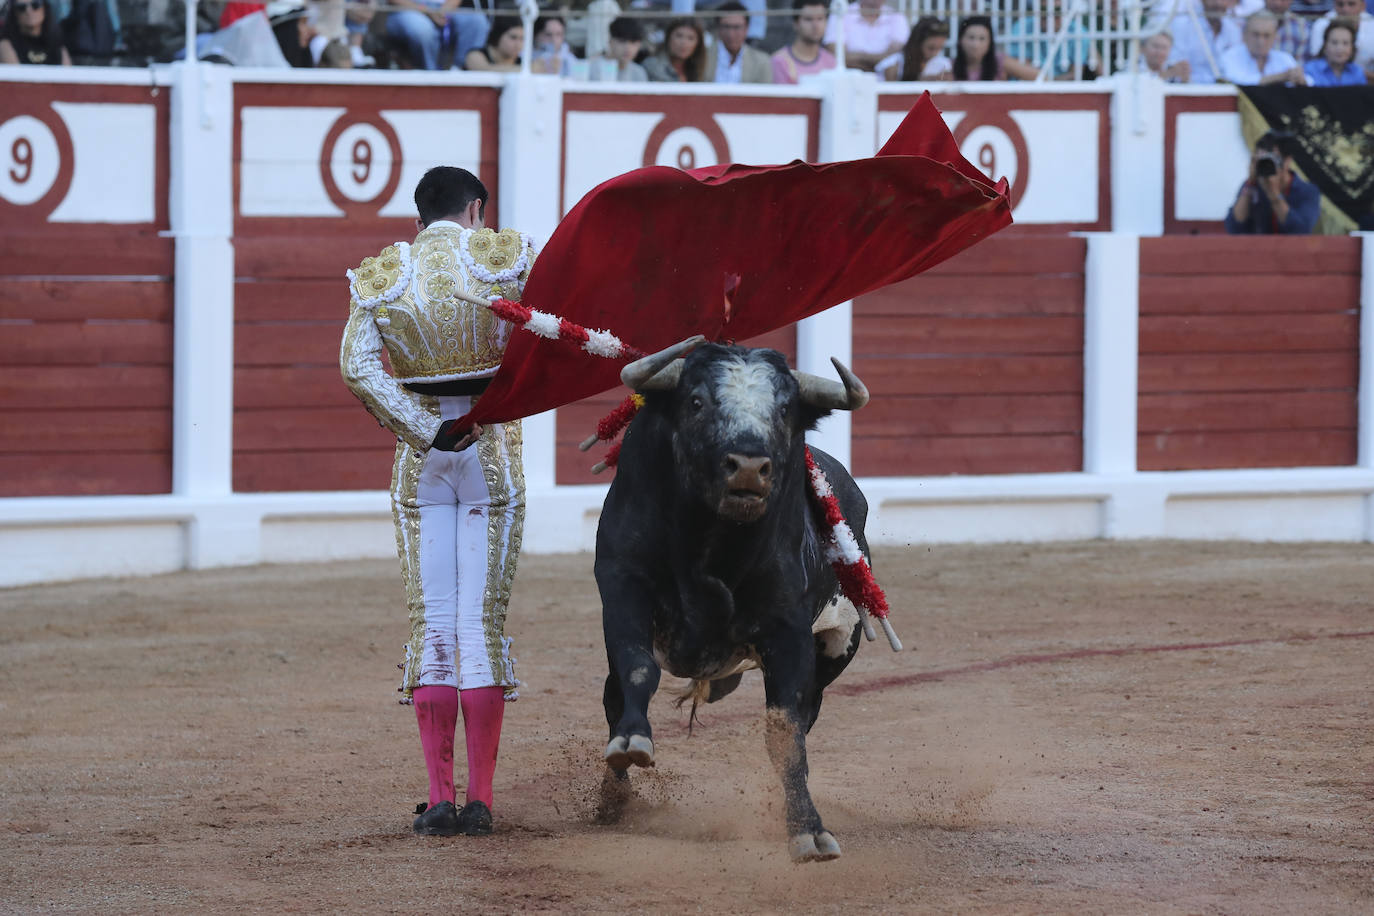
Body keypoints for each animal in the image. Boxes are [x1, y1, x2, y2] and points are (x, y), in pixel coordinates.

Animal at [596, 335, 873, 862]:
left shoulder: (789, 631)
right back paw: (611, 801)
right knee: (614, 693)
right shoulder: (623, 587)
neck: (712, 542)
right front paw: (631, 742)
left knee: (804, 720)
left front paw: (807, 829)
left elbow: (785, 730)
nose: (748, 466)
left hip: (837, 649)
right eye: (696, 402)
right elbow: (639, 669)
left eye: (785, 409)